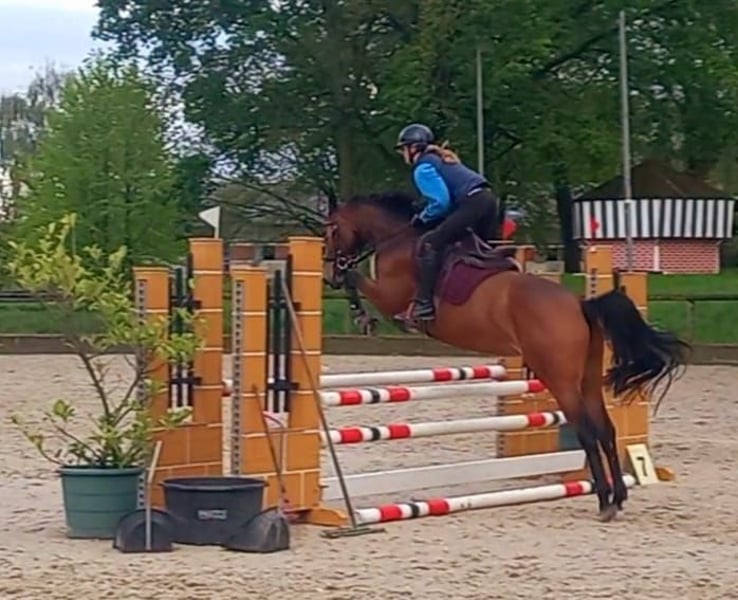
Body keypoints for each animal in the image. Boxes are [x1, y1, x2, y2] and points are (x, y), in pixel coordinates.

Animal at [323, 190, 691, 522]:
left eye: (331, 229)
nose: (328, 274)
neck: (397, 238)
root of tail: (580, 303)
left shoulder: (389, 296)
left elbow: (357, 280)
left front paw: (361, 314)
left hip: (559, 379)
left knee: (586, 431)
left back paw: (604, 500)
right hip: (587, 379)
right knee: (605, 430)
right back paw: (619, 495)